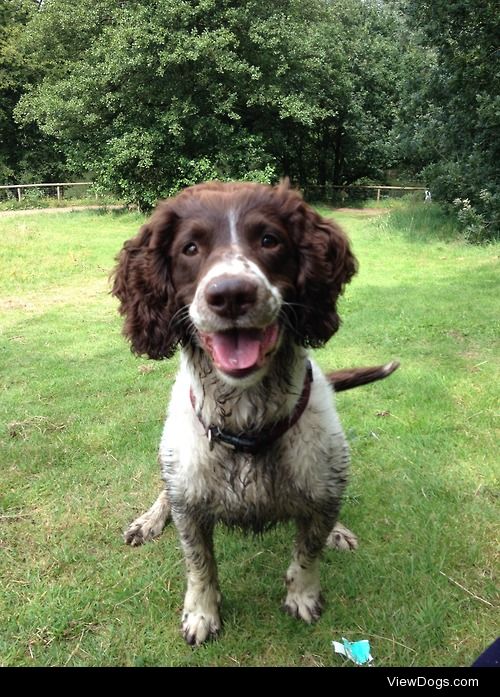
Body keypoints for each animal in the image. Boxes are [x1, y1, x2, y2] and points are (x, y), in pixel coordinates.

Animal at [113, 178, 398, 640]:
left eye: (269, 240)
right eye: (190, 248)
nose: (231, 294)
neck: (246, 423)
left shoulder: (322, 491)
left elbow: (307, 552)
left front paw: (302, 595)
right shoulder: (189, 505)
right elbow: (199, 565)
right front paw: (202, 613)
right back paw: (151, 519)